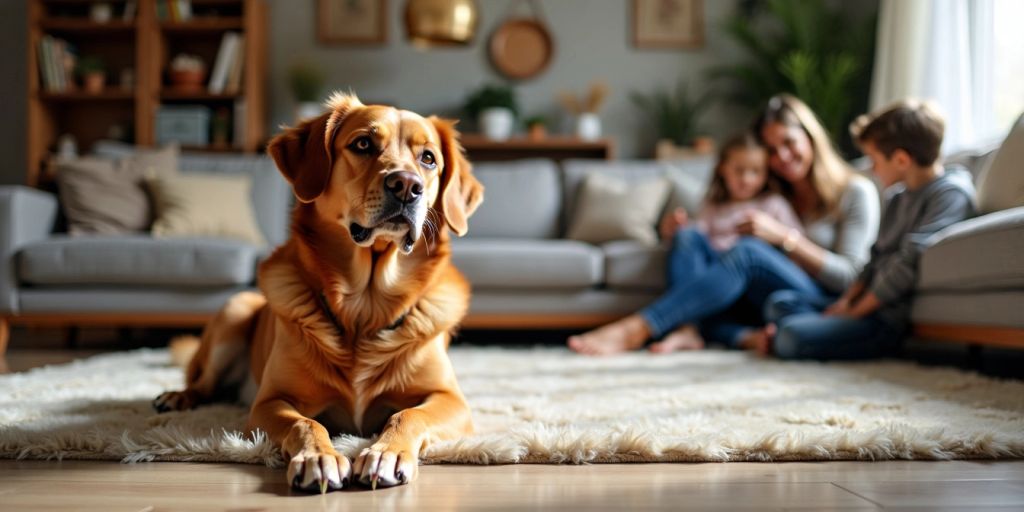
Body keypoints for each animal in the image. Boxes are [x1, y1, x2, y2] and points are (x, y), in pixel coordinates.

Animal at [153, 92, 485, 491]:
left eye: (428, 158)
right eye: (363, 144)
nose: (407, 185)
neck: (365, 306)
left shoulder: (451, 399)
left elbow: (406, 415)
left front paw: (385, 453)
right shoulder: (269, 401)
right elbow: (306, 422)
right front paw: (319, 457)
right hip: (236, 310)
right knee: (203, 383)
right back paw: (177, 397)